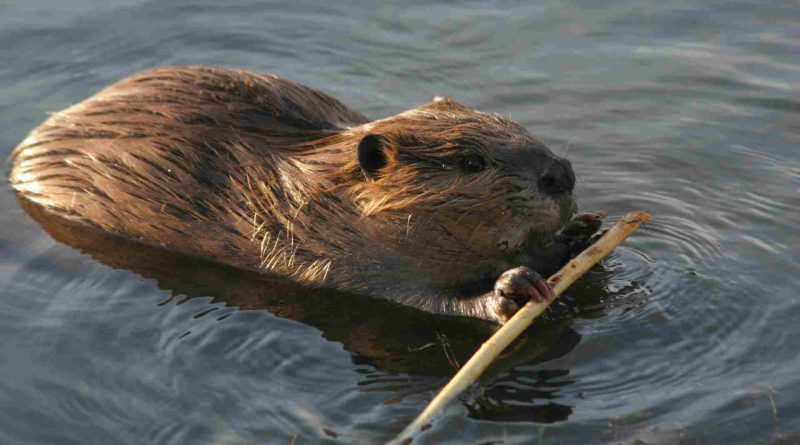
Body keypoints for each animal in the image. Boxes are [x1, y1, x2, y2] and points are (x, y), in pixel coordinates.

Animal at [9, 65, 596, 322]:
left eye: (516, 126)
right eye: (471, 161)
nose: (561, 173)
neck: (318, 186)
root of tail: (20, 153)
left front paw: (582, 232)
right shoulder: (329, 253)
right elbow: (417, 300)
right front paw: (510, 289)